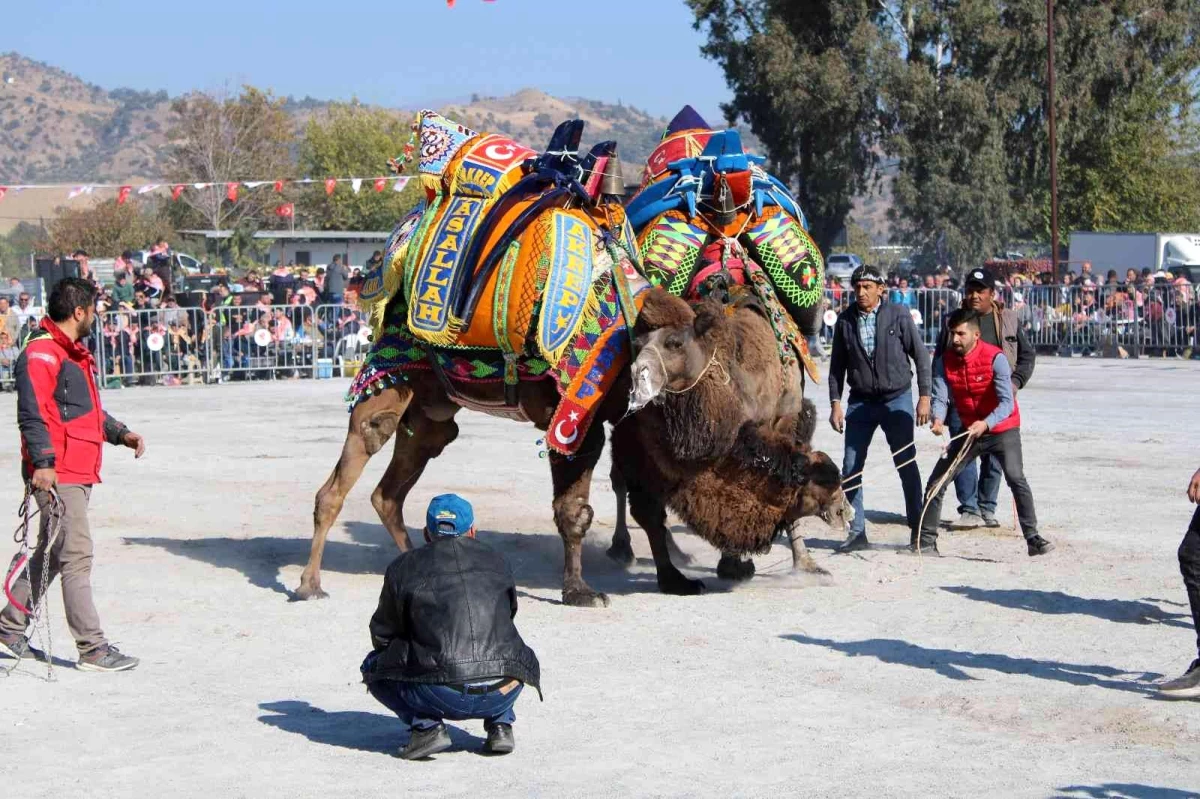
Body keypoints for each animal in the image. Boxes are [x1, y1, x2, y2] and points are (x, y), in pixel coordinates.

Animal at [295, 110, 840, 604]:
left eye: (678, 345)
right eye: (810, 482)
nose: (840, 504)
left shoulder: (631, 428)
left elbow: (647, 507)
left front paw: (676, 579)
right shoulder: (578, 420)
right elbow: (577, 511)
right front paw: (579, 590)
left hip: (432, 410)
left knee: (390, 491)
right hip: (392, 374)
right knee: (344, 474)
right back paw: (309, 584)